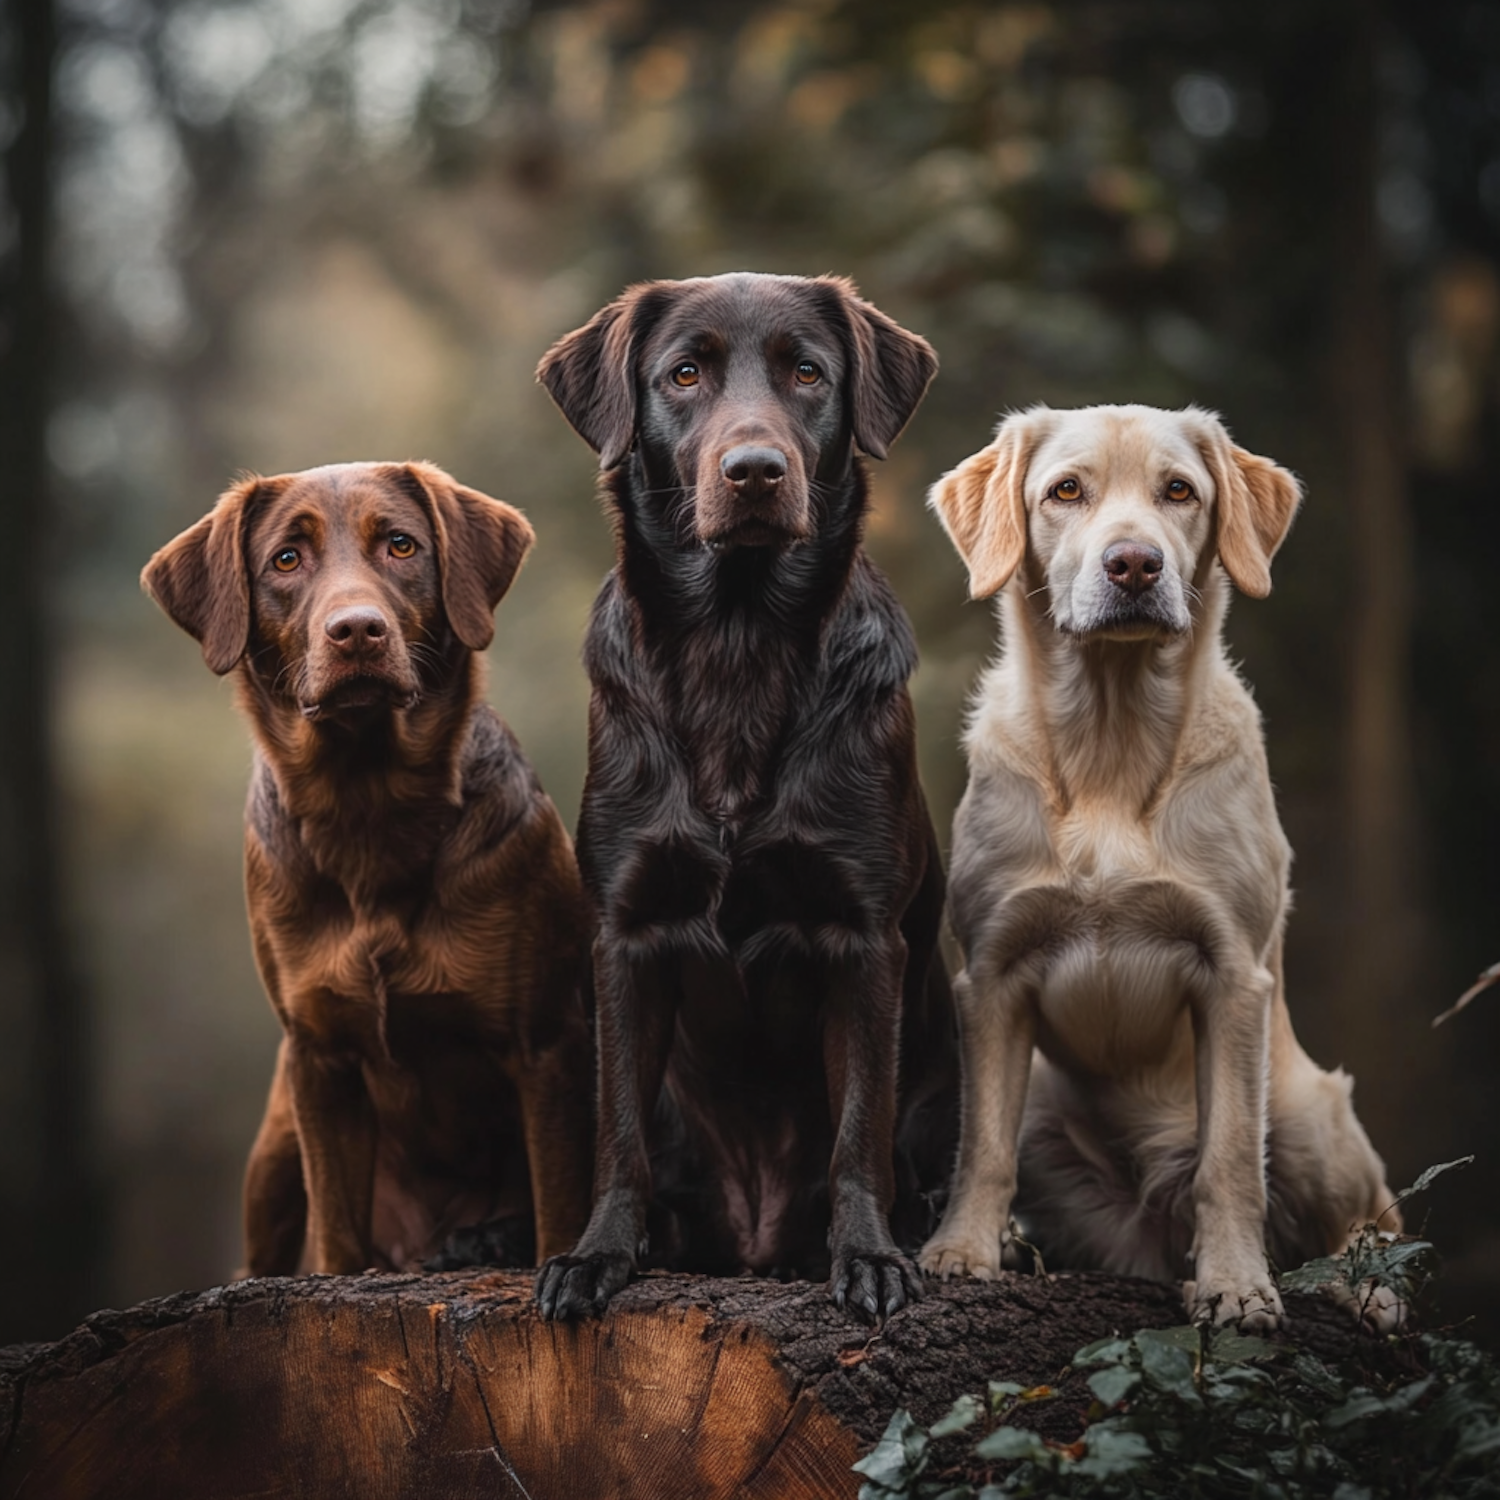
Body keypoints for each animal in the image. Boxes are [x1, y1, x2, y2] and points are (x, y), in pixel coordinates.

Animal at [143, 459, 594, 1278]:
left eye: (401, 545)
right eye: (286, 560)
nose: (357, 629)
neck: (368, 812)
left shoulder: (546, 1043)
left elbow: (562, 1216)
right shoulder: (319, 1059)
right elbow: (337, 1237)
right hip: (275, 1142)